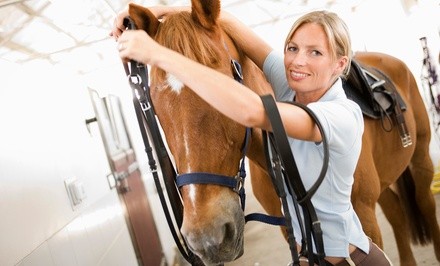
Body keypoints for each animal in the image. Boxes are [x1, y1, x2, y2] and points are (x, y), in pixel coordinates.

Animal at [125, 2, 438, 266]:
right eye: (153, 105)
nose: (206, 236)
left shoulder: (364, 219)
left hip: (420, 159)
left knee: (424, 201)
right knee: (397, 214)